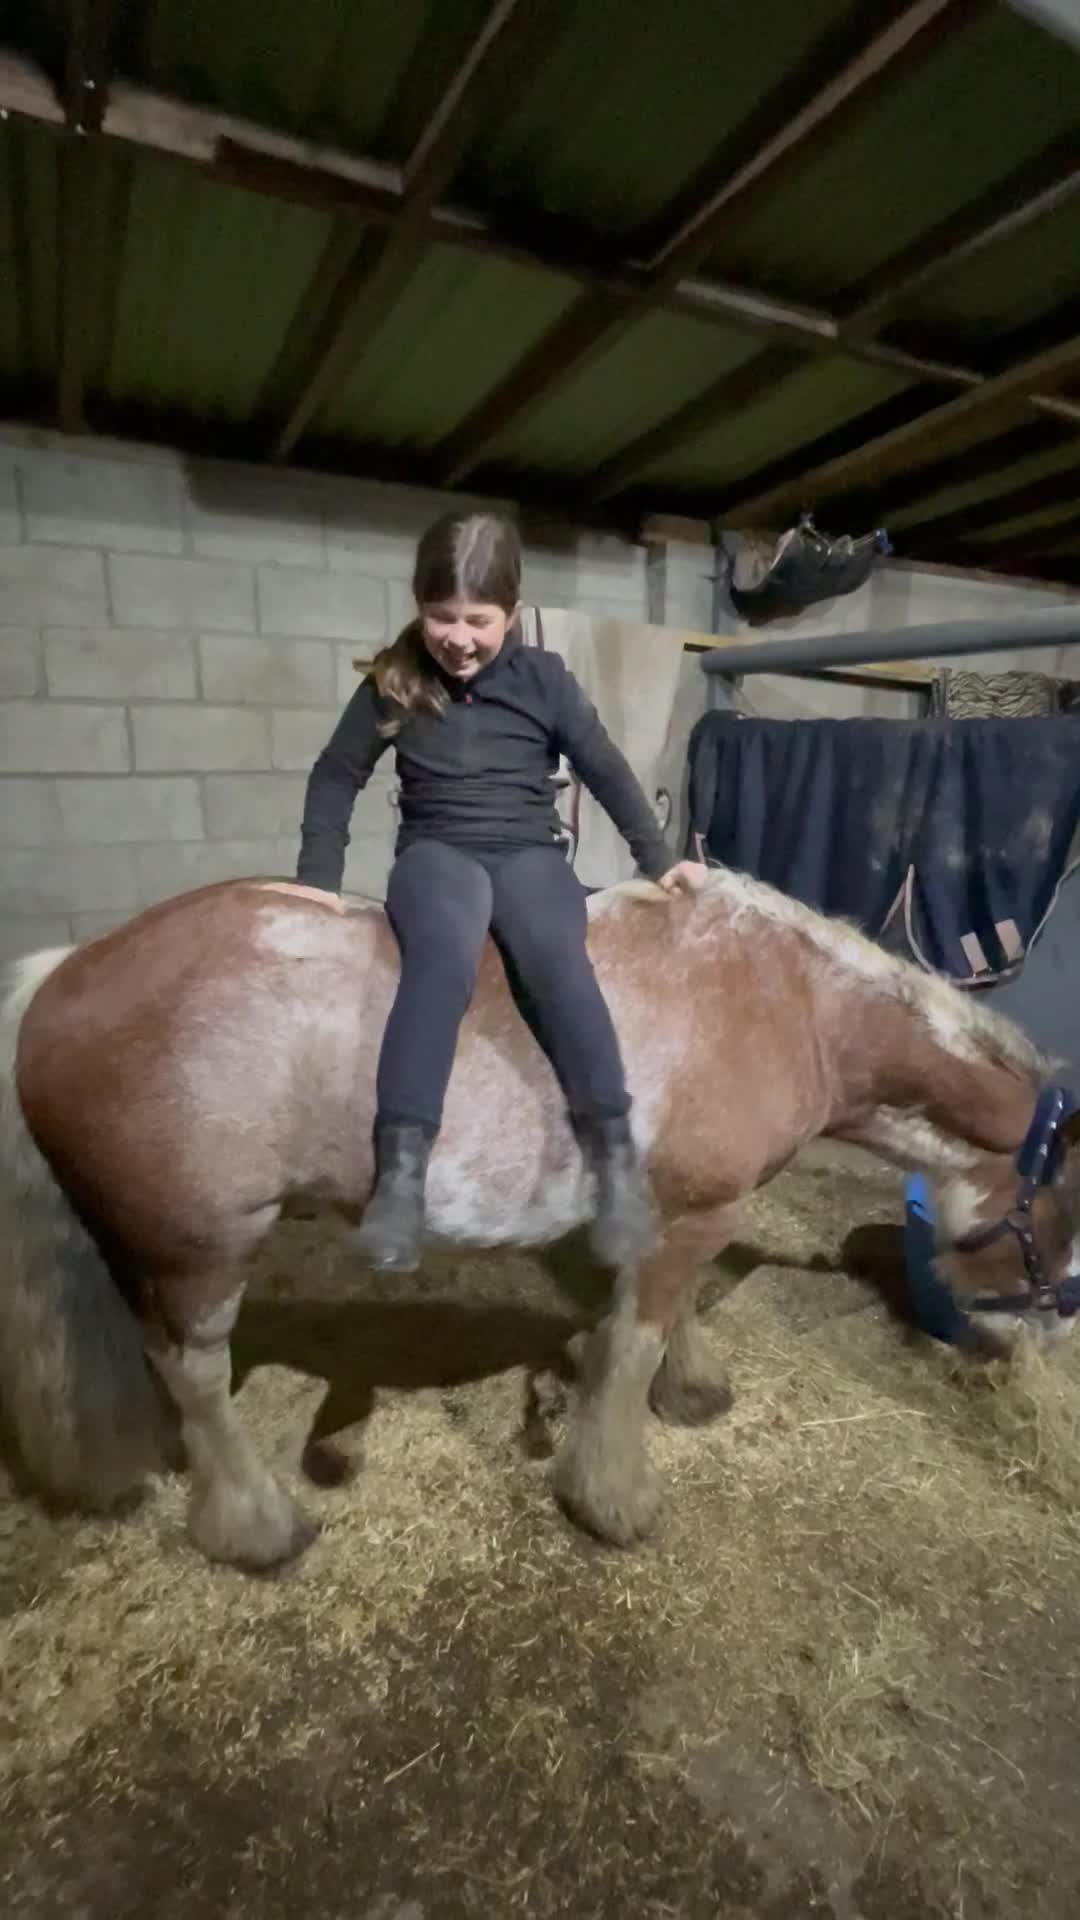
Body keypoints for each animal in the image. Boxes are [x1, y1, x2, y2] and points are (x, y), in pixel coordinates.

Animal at [1, 868, 1077, 1574]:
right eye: (1067, 1217)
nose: (1041, 1340)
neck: (794, 1006)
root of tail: (60, 975)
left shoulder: (677, 1213)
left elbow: (655, 1322)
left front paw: (689, 1393)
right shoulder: (696, 1212)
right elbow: (636, 1341)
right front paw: (613, 1497)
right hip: (201, 1251)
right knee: (194, 1373)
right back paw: (259, 1530)